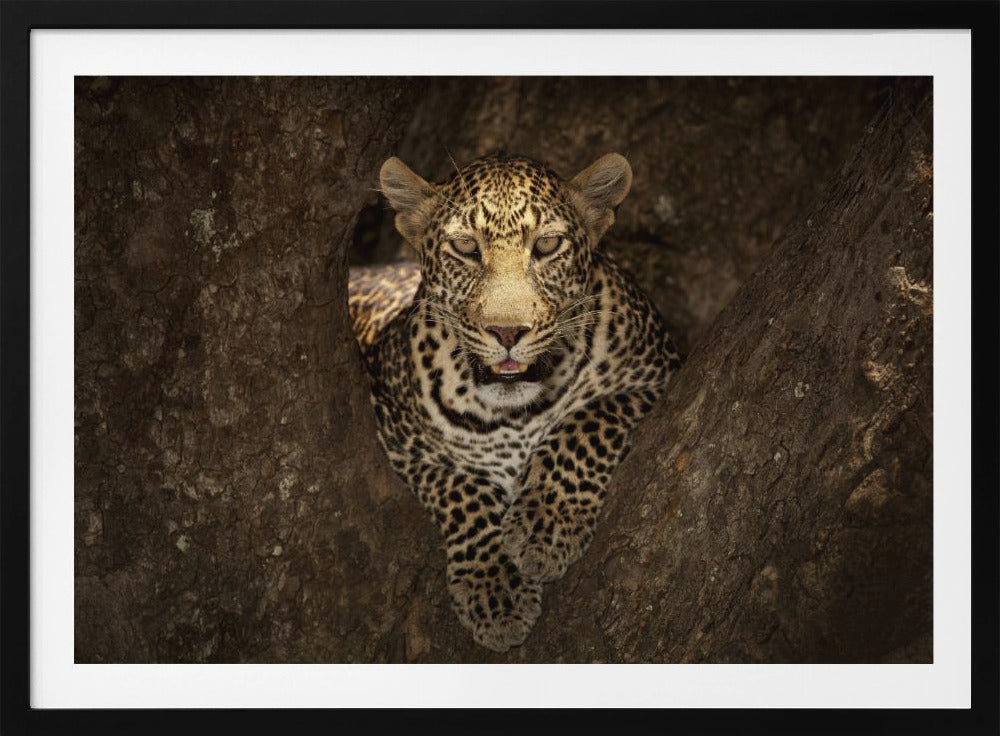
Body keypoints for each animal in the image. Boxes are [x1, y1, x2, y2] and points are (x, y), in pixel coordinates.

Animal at [348, 152, 682, 652]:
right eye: (466, 247)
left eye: (546, 245)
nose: (507, 332)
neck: (513, 415)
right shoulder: (397, 438)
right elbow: (460, 489)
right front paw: (495, 589)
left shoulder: (659, 373)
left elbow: (586, 421)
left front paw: (547, 524)